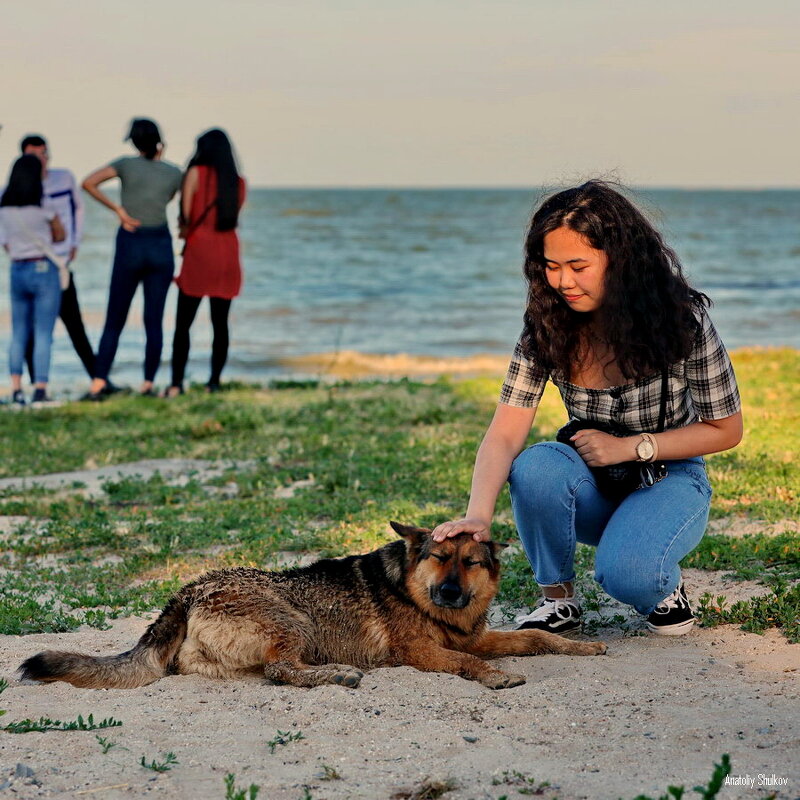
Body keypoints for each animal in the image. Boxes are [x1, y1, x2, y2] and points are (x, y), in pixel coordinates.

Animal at [18, 520, 608, 692]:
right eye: (439, 557)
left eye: (471, 562)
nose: (449, 593)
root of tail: (190, 588)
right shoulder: (423, 653)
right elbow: (466, 661)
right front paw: (494, 676)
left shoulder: (479, 633)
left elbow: (533, 637)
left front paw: (579, 646)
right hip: (294, 619)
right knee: (280, 670)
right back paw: (337, 675)